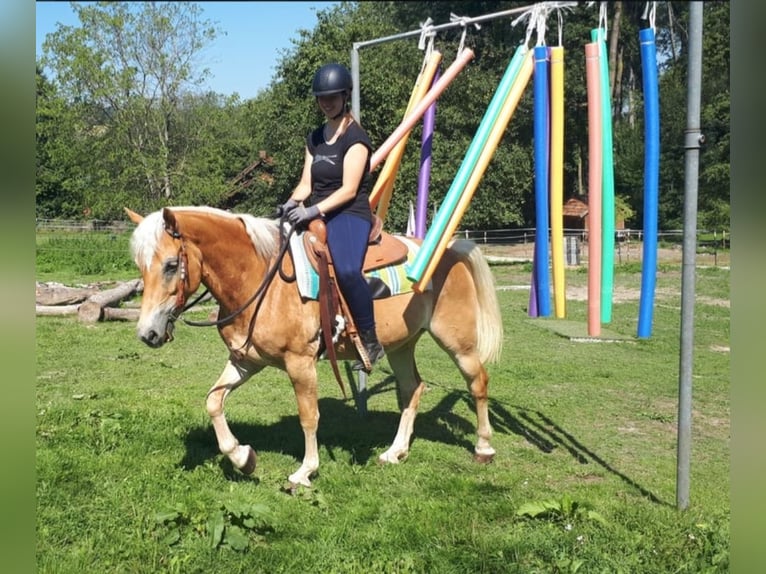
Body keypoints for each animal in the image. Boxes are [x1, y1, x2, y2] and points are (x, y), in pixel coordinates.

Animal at [125, 207, 504, 490]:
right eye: (140, 266)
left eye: (171, 265)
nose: (147, 333)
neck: (261, 279)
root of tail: (450, 250)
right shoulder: (245, 361)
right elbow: (213, 401)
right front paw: (243, 458)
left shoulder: (301, 363)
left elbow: (309, 417)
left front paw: (305, 471)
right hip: (401, 345)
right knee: (412, 389)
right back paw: (394, 452)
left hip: (457, 342)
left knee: (478, 382)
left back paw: (484, 447)